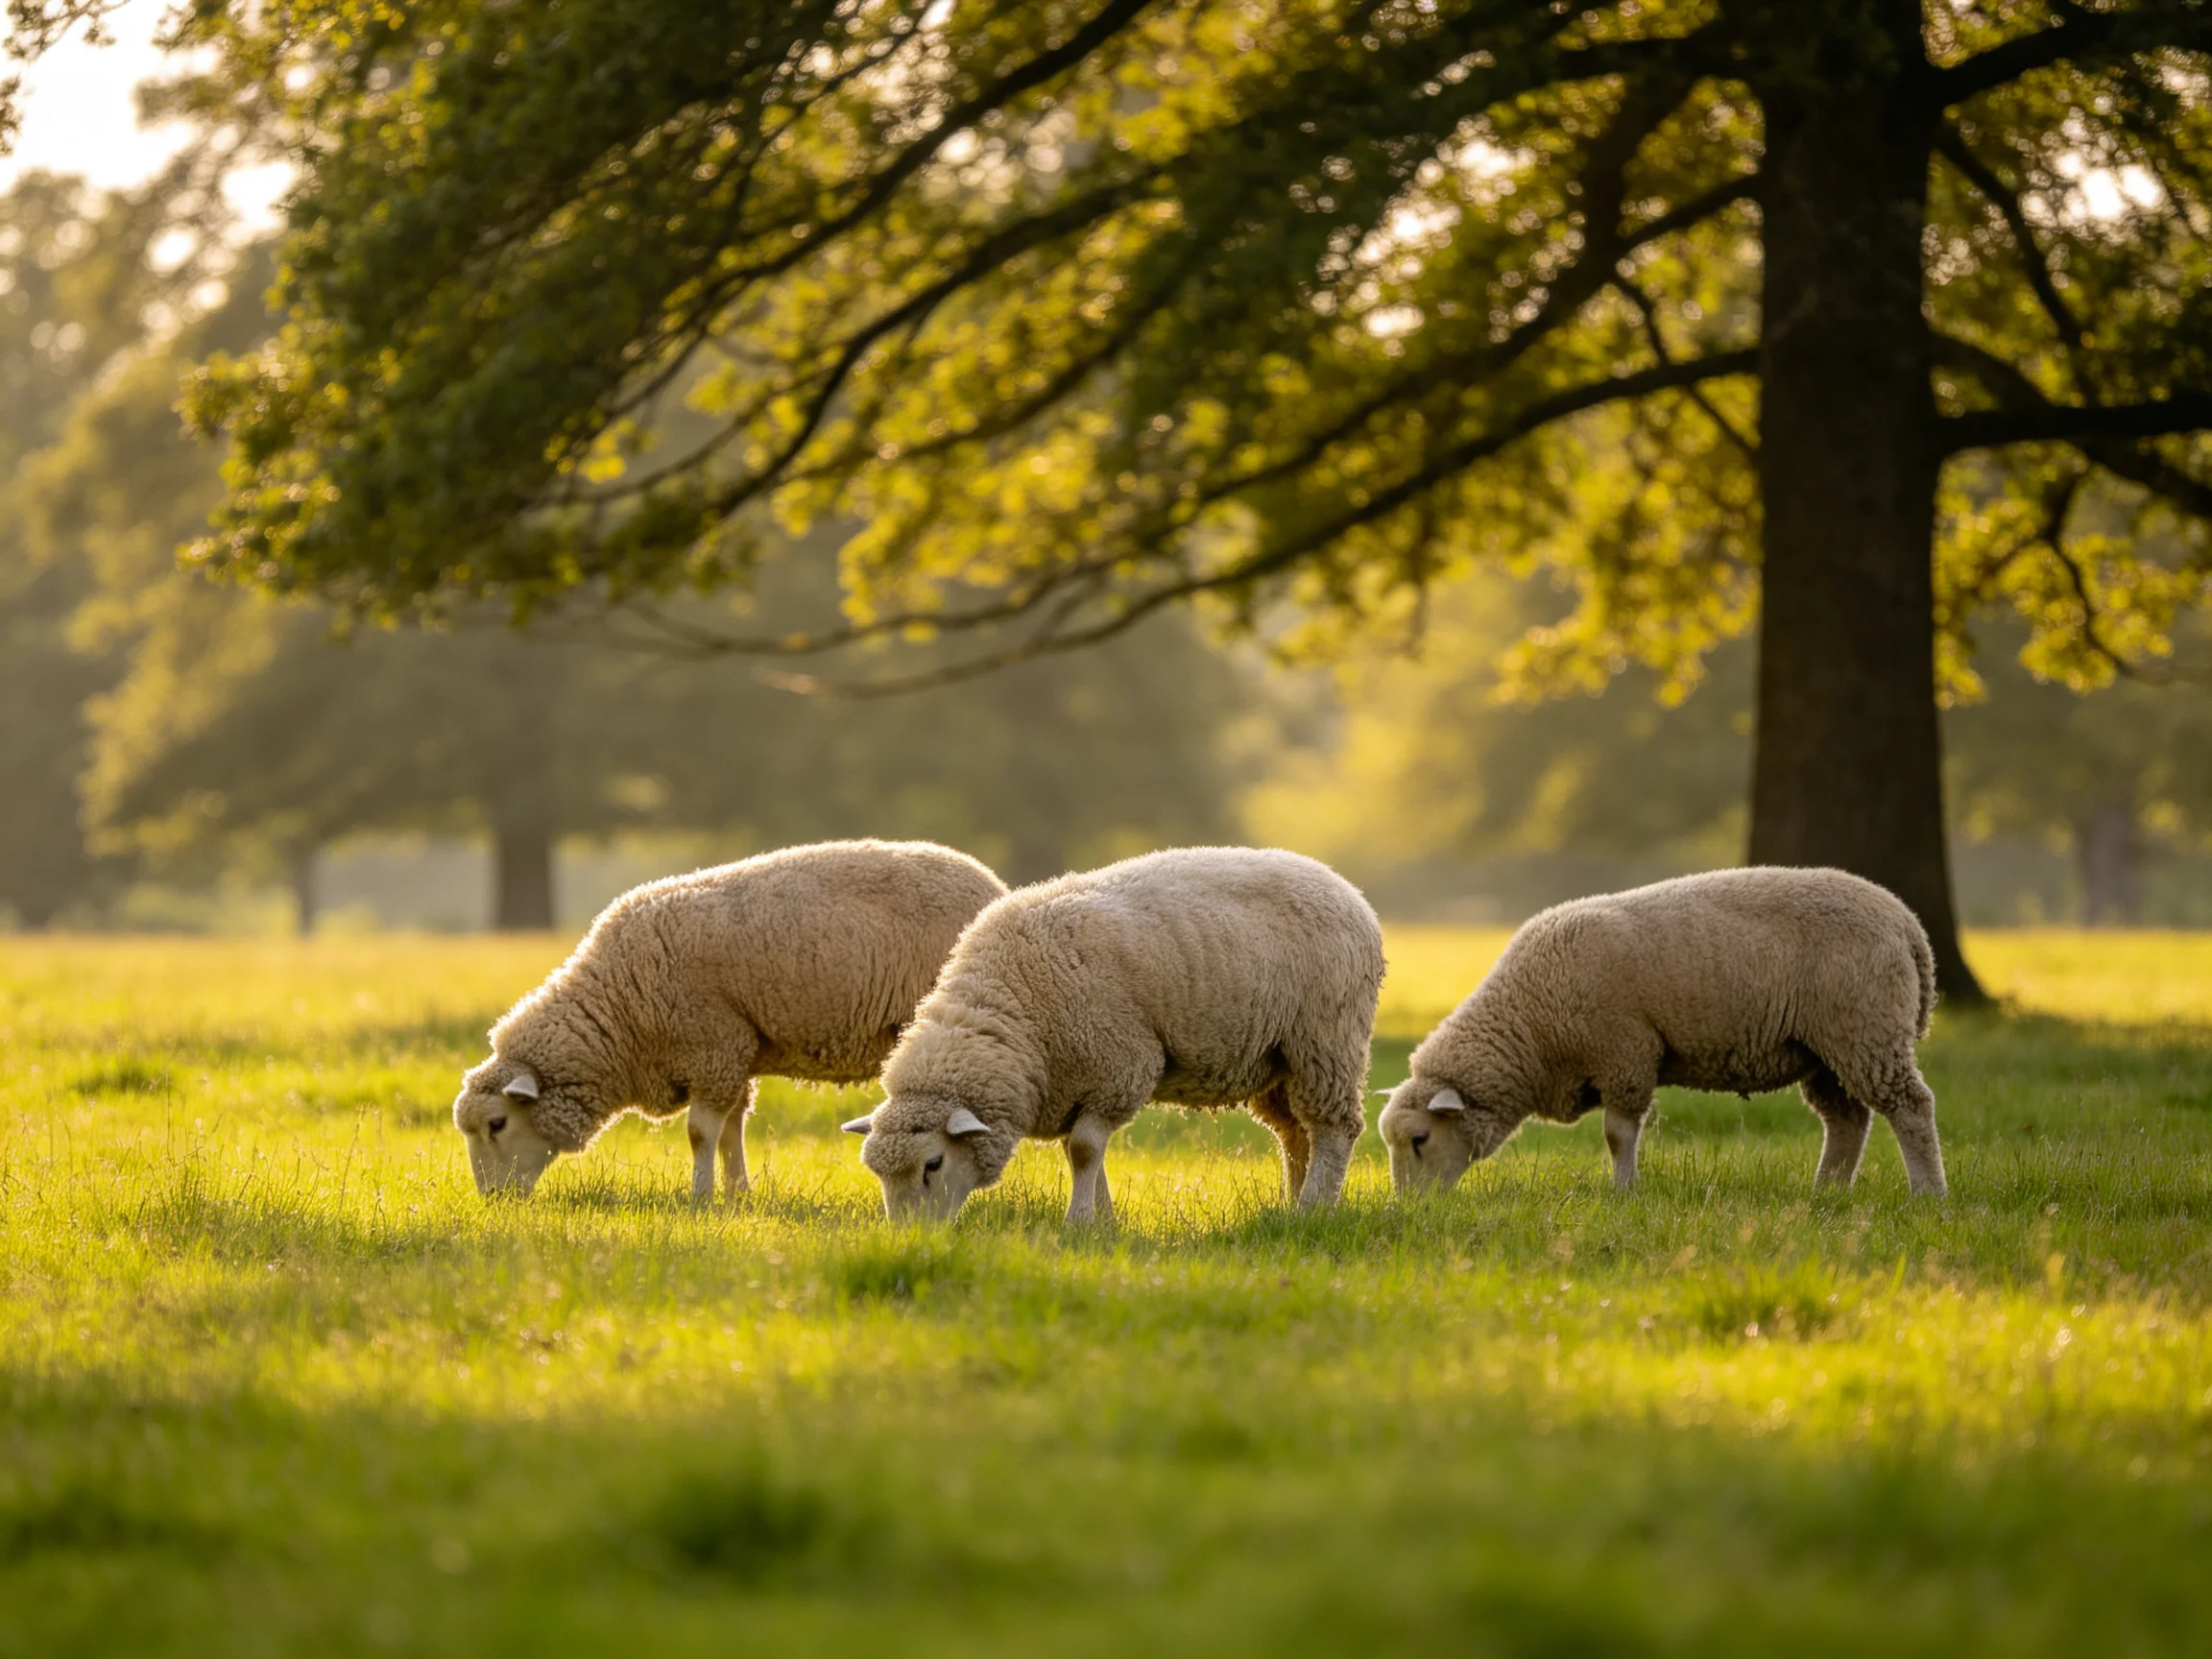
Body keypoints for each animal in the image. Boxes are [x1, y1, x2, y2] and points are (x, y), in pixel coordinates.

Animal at [451, 840, 1006, 1199]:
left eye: (497, 1123)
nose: (493, 1200)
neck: (620, 1011)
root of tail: (992, 886)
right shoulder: (736, 1051)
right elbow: (732, 1129)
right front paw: (739, 1195)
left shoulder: (711, 1047)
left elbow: (701, 1133)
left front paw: (699, 1199)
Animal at [844, 846, 1385, 1223]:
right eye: (878, 1172)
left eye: (932, 1164)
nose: (910, 1238)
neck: (1013, 1008)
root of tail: (1344, 888)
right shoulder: (1073, 1082)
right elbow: (1079, 1153)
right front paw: (1104, 1221)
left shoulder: (1117, 1067)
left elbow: (1084, 1150)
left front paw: (1080, 1222)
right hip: (1277, 1057)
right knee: (1295, 1133)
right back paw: (1298, 1203)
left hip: (1326, 1038)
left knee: (1334, 1130)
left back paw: (1313, 1209)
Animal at [1376, 866, 1947, 1197]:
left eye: (1420, 1139)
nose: (1408, 1211)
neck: (1530, 1028)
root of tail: (1906, 922)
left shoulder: (1624, 1053)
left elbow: (1616, 1134)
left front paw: (1623, 1193)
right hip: (1823, 1048)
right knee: (1847, 1120)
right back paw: (1826, 1192)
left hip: (1865, 1028)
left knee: (1911, 1108)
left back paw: (1928, 1194)